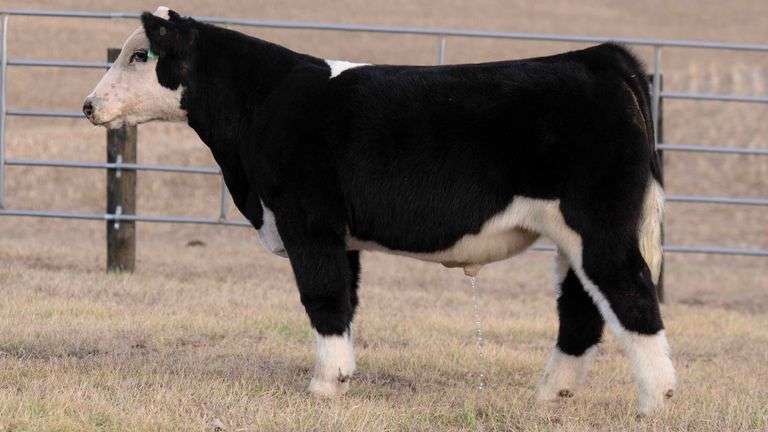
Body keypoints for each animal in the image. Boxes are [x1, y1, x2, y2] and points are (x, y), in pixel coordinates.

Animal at [83, 7, 675, 415]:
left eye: (140, 56)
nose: (88, 105)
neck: (261, 106)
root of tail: (598, 58)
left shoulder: (308, 221)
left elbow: (322, 297)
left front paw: (324, 386)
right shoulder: (341, 236)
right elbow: (345, 301)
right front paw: (340, 376)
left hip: (598, 225)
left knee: (630, 295)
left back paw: (656, 400)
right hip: (577, 236)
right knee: (581, 310)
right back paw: (551, 395)